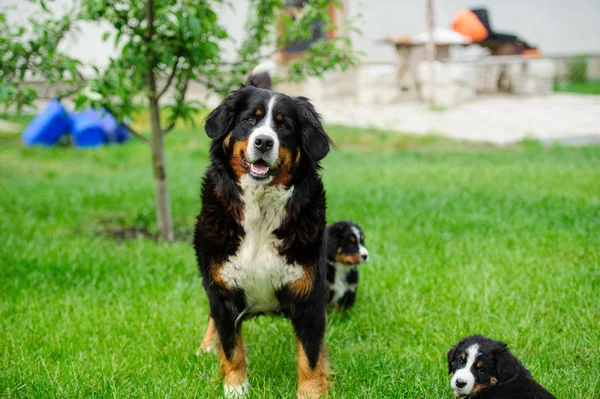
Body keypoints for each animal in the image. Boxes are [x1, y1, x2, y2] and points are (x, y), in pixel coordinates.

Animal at [195, 83, 332, 398]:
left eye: (284, 126)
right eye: (250, 120)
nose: (263, 142)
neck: (260, 210)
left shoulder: (310, 294)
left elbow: (310, 355)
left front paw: (310, 392)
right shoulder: (221, 290)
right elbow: (232, 348)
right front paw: (235, 388)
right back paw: (206, 346)